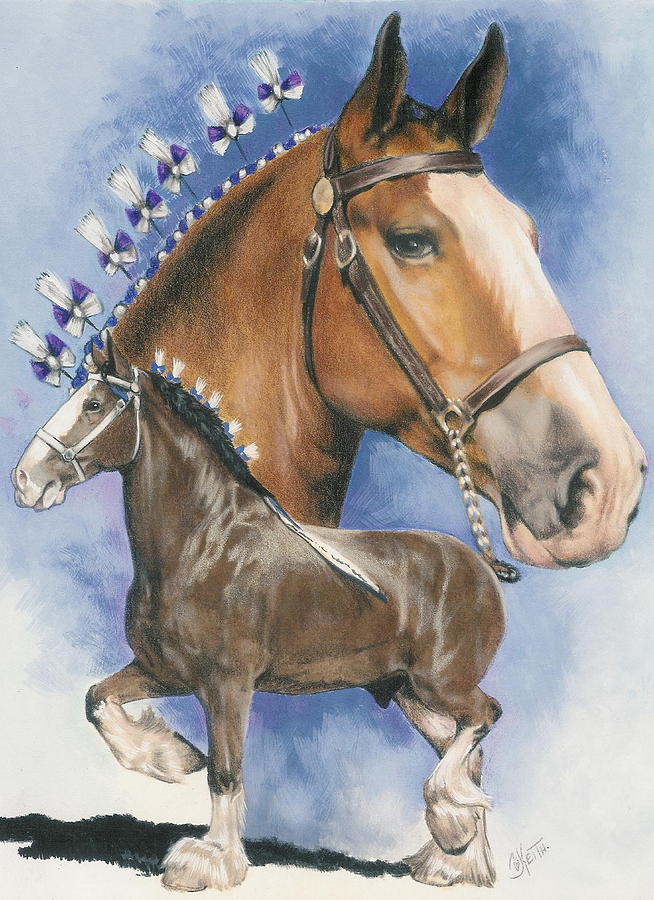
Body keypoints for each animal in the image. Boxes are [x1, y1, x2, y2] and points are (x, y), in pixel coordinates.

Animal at [13, 333, 506, 890]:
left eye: (94, 404)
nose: (25, 479)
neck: (205, 545)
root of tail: (479, 567)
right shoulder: (163, 672)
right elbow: (97, 699)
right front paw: (170, 757)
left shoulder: (228, 685)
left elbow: (225, 772)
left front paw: (209, 862)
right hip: (410, 695)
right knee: (469, 753)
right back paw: (455, 861)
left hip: (442, 686)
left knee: (485, 718)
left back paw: (450, 824)